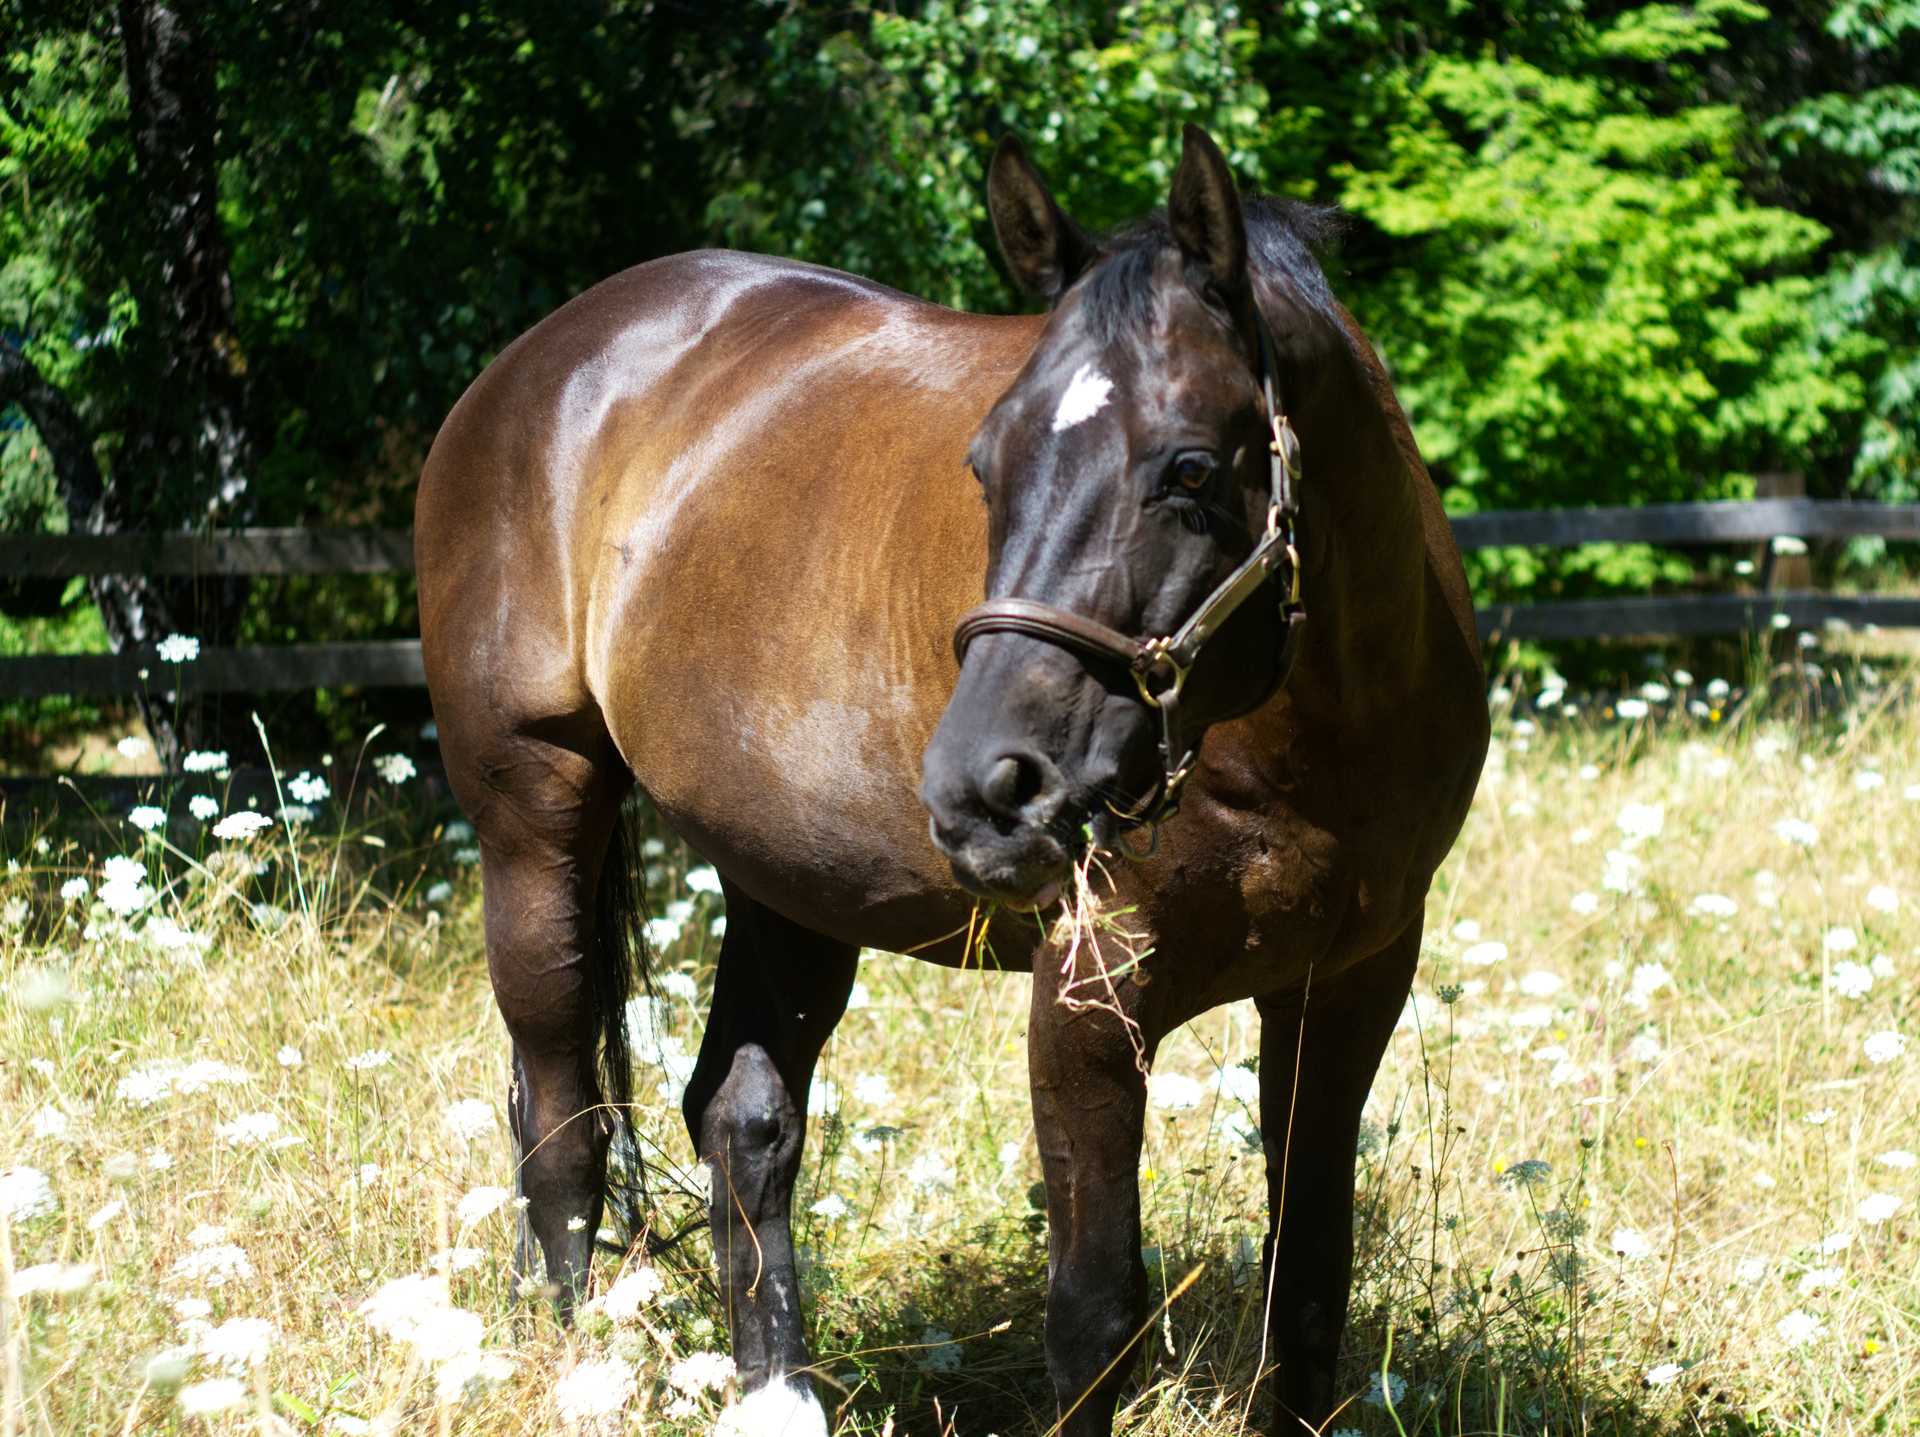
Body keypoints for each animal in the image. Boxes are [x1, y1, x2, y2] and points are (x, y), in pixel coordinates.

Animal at [415, 124, 1486, 1436]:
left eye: (1189, 470)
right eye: (985, 463)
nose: (986, 791)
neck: (1309, 741)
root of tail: (531, 367)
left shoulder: (1351, 980)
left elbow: (1311, 1288)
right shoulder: (1092, 994)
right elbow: (1094, 1317)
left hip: (784, 877)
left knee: (740, 1120)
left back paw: (778, 1395)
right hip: (535, 816)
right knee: (561, 1114)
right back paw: (568, 1366)